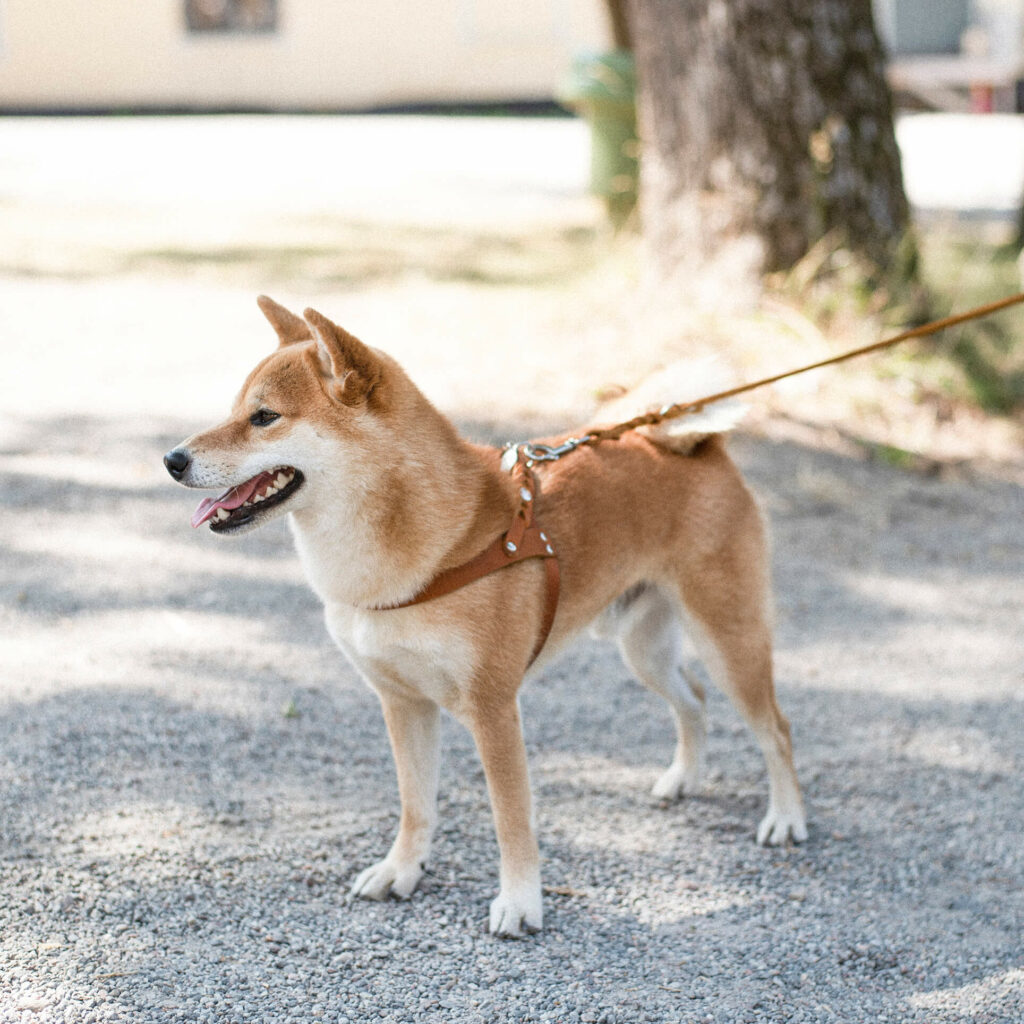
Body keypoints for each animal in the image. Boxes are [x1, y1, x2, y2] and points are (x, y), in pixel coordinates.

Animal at [163, 294, 806, 937]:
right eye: (235, 410)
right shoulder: (402, 702)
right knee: (693, 699)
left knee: (775, 727)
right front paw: (402, 871)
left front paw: (520, 903)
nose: (171, 459)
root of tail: (690, 441)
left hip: (728, 638)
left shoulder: (493, 708)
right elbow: (415, 805)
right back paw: (683, 779)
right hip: (643, 649)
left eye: (265, 417)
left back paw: (786, 818)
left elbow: (510, 818)